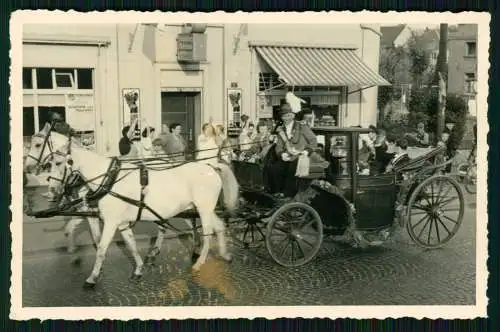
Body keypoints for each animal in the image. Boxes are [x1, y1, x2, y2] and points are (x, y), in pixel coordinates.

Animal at [42, 131, 238, 286]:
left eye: (58, 163)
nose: (51, 190)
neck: (109, 180)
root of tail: (211, 167)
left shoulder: (111, 221)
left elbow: (102, 248)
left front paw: (92, 278)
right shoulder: (121, 222)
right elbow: (131, 244)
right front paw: (138, 269)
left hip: (204, 208)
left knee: (208, 233)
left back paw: (199, 262)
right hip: (199, 208)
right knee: (218, 227)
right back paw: (224, 254)